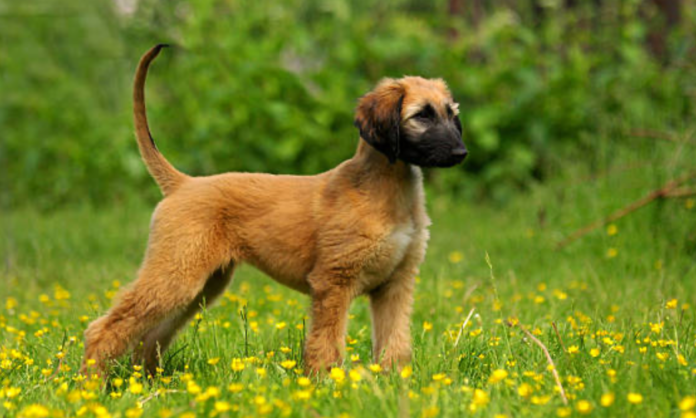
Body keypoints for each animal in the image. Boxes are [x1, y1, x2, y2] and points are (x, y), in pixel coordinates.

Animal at [81, 45, 468, 376]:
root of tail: (183, 184)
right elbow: (326, 344)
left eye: (452, 115)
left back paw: (144, 384)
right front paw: (324, 386)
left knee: (151, 335)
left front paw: (395, 384)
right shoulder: (333, 282)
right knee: (103, 329)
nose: (462, 153)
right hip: (176, 273)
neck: (384, 189)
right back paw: (92, 386)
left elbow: (395, 344)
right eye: (422, 116)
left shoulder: (396, 284)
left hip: (200, 283)